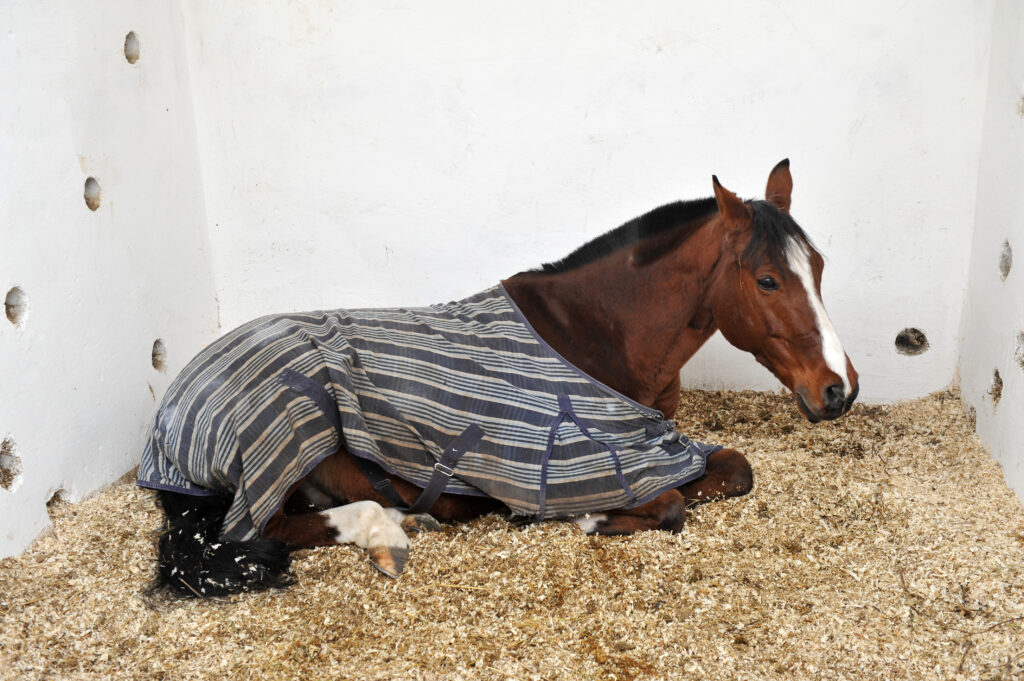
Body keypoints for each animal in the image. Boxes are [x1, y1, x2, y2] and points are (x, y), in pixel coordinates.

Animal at [142, 160, 859, 597]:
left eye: (820, 266)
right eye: (767, 280)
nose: (839, 388)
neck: (595, 333)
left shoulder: (663, 443)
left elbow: (736, 470)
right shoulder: (586, 465)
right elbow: (670, 506)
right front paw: (595, 517)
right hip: (287, 442)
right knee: (261, 530)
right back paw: (389, 525)